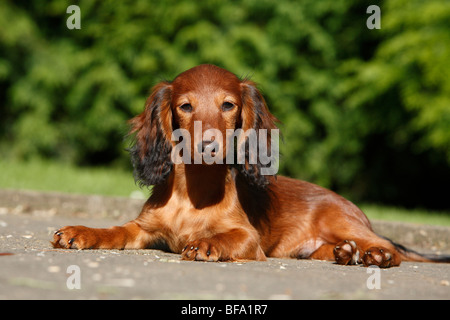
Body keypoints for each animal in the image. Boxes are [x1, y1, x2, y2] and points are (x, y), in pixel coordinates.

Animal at [52, 64, 446, 268]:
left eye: (228, 105)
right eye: (185, 106)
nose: (208, 145)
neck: (193, 193)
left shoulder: (248, 238)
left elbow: (225, 236)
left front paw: (206, 244)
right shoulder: (143, 228)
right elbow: (115, 231)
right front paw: (82, 232)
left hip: (342, 222)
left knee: (393, 250)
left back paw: (375, 255)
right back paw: (346, 254)